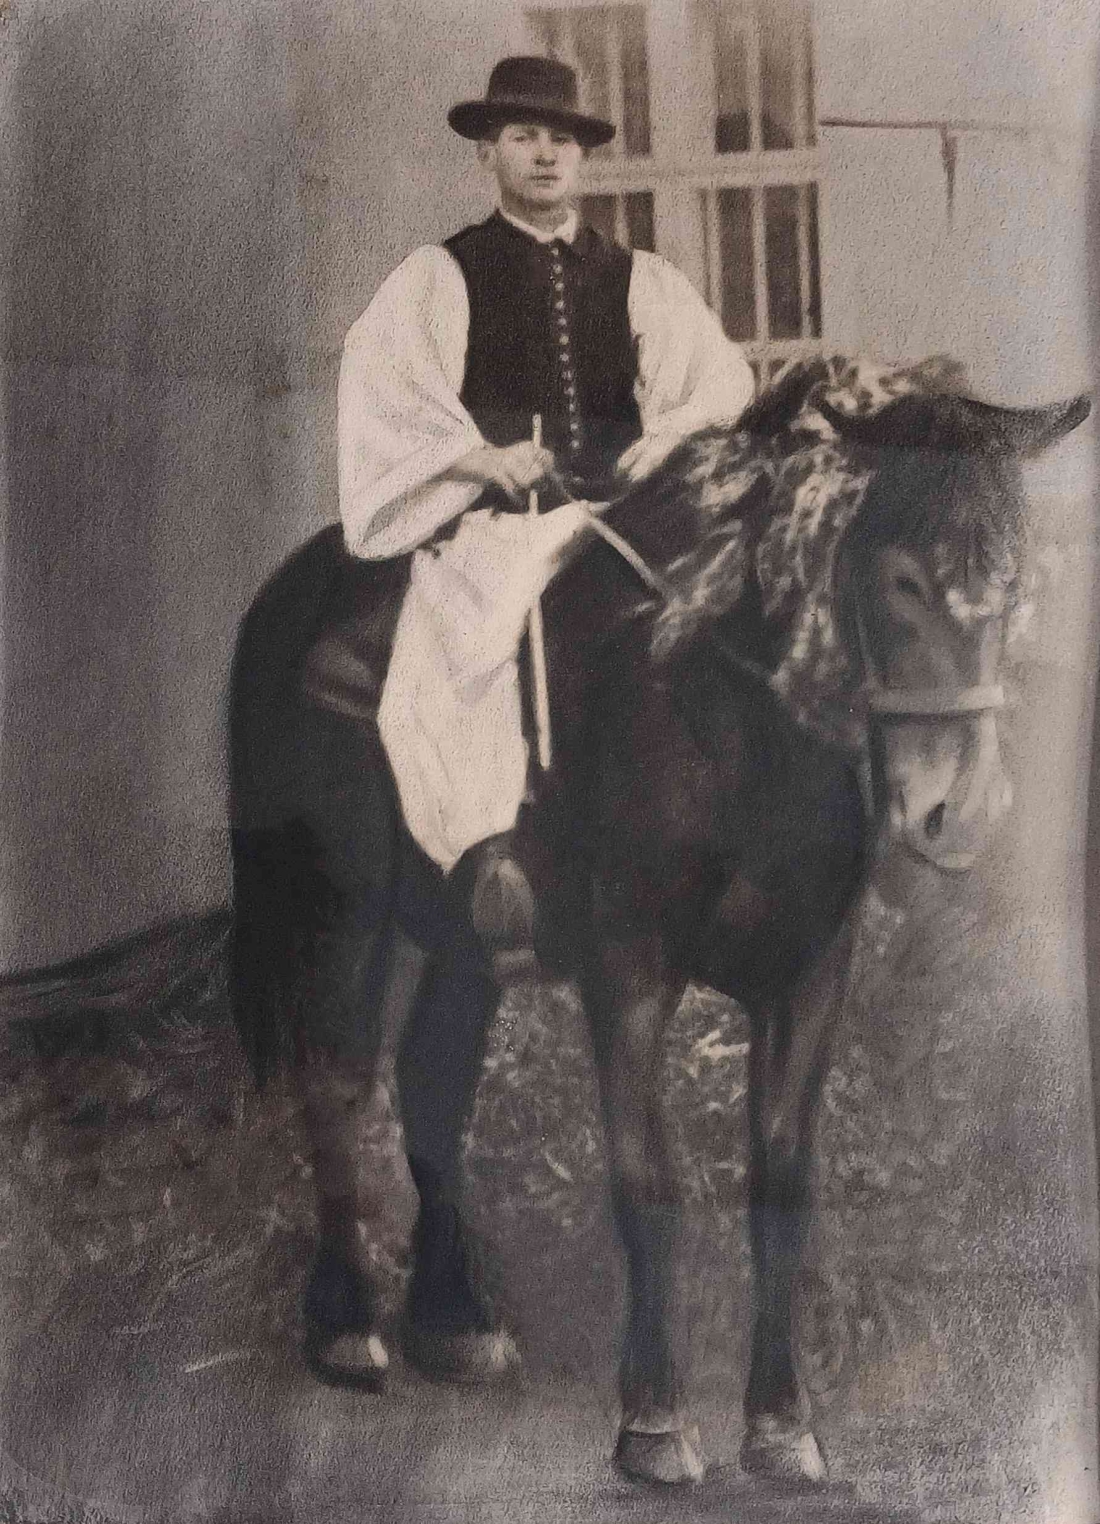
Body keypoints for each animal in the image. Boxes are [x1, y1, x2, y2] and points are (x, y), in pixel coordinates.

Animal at [228, 356, 1088, 1488]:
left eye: (1012, 584)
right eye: (902, 580)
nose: (962, 812)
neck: (731, 716)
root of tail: (286, 601)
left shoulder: (810, 977)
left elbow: (780, 1180)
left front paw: (780, 1423)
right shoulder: (627, 974)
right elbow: (648, 1183)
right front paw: (652, 1419)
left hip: (458, 940)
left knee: (430, 1088)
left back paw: (451, 1326)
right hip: (345, 915)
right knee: (334, 1081)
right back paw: (344, 1331)